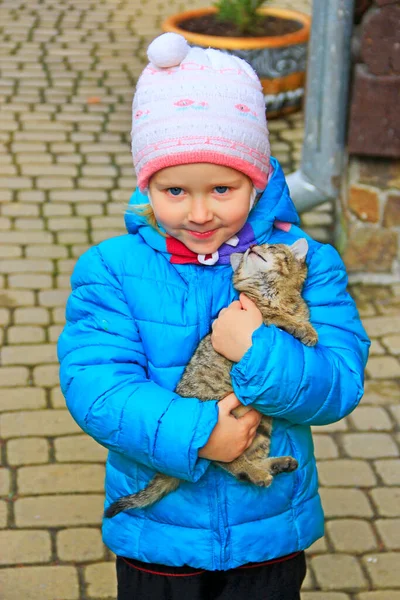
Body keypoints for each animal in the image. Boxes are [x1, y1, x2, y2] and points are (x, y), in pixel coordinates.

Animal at [104, 237, 318, 516]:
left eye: (271, 248)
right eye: (253, 250)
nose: (251, 248)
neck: (272, 293)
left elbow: (301, 317)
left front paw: (307, 327)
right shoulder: (261, 317)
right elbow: (282, 318)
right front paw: (305, 330)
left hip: (261, 425)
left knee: (248, 459)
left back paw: (275, 465)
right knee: (225, 461)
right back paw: (258, 473)